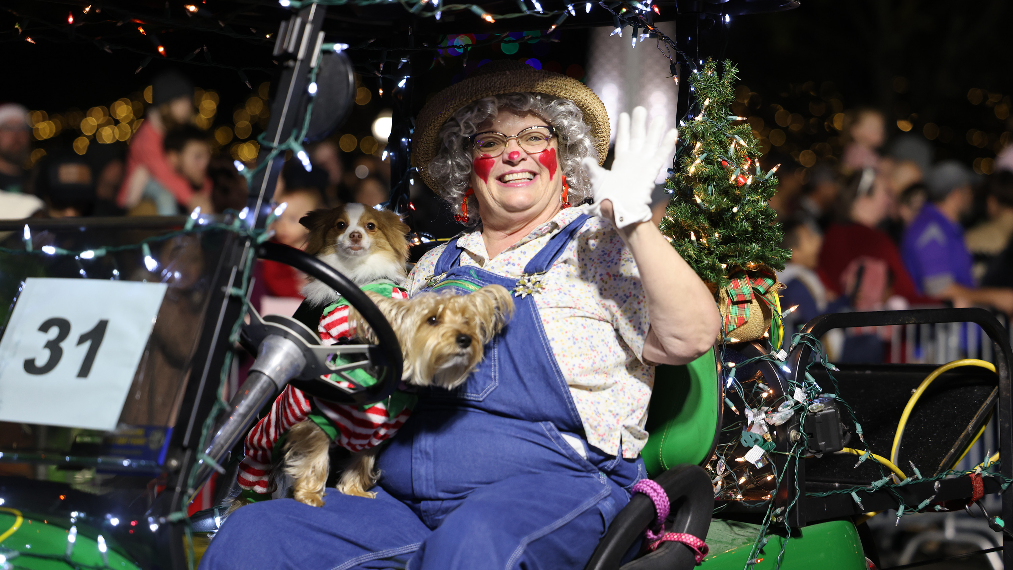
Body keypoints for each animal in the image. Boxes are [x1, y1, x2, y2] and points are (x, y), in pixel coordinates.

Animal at [283, 287, 514, 506]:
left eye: (467, 321)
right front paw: (309, 495)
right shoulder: (322, 421)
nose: (466, 339)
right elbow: (316, 458)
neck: (395, 387)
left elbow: (363, 461)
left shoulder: (375, 435)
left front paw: (354, 490)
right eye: (432, 319)